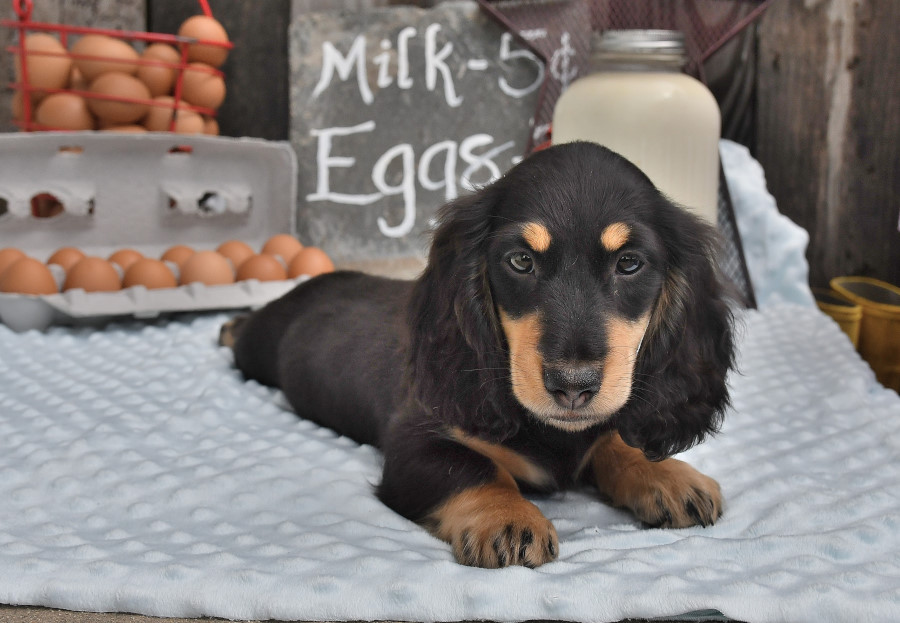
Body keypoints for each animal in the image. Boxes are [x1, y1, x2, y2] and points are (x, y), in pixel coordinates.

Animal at [221, 141, 736, 572]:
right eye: (521, 261)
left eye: (629, 263)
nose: (572, 386)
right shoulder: (415, 441)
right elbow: (475, 468)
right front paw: (507, 518)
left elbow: (616, 438)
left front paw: (666, 474)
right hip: (259, 348)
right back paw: (230, 325)